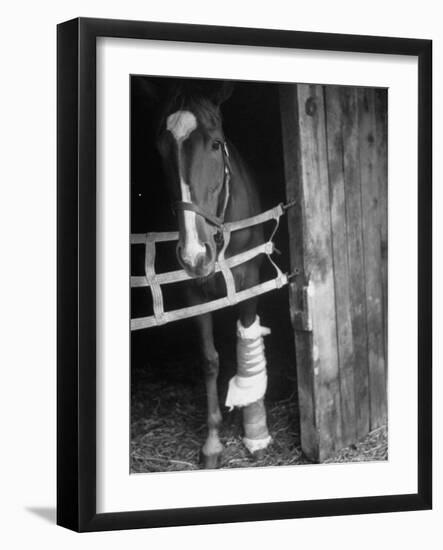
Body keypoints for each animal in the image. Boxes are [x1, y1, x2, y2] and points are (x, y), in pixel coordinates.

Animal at [156, 82, 274, 470]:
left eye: (215, 143)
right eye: (160, 149)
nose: (195, 253)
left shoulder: (250, 280)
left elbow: (246, 338)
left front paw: (256, 433)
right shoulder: (194, 292)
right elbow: (209, 359)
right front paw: (212, 442)